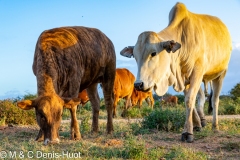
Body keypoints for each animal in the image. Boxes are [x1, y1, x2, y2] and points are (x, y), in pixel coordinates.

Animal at [121, 2, 232, 142]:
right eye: (135, 56)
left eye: (153, 53)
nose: (138, 84)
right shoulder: (184, 79)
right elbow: (189, 100)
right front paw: (196, 126)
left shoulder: (197, 73)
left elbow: (189, 100)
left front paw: (187, 132)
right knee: (202, 98)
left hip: (221, 74)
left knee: (215, 100)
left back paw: (215, 126)